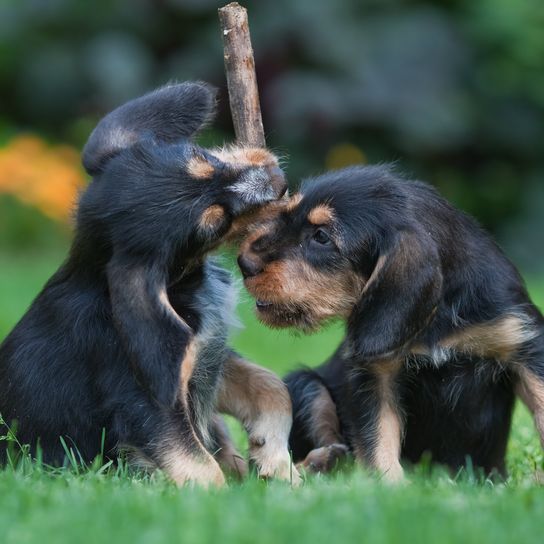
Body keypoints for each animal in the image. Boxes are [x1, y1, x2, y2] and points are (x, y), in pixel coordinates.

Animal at [0, 82, 302, 488]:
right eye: (215, 224)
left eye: (201, 156)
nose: (278, 180)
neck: (181, 285)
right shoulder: (147, 402)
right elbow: (198, 465)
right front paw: (224, 499)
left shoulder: (206, 359)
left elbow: (272, 387)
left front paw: (274, 459)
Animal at [238, 165, 544, 480]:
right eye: (285, 215)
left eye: (321, 236)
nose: (244, 263)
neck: (438, 316)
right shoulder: (376, 372)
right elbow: (378, 433)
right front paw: (389, 483)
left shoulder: (523, 342)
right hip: (304, 385)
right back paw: (322, 463)